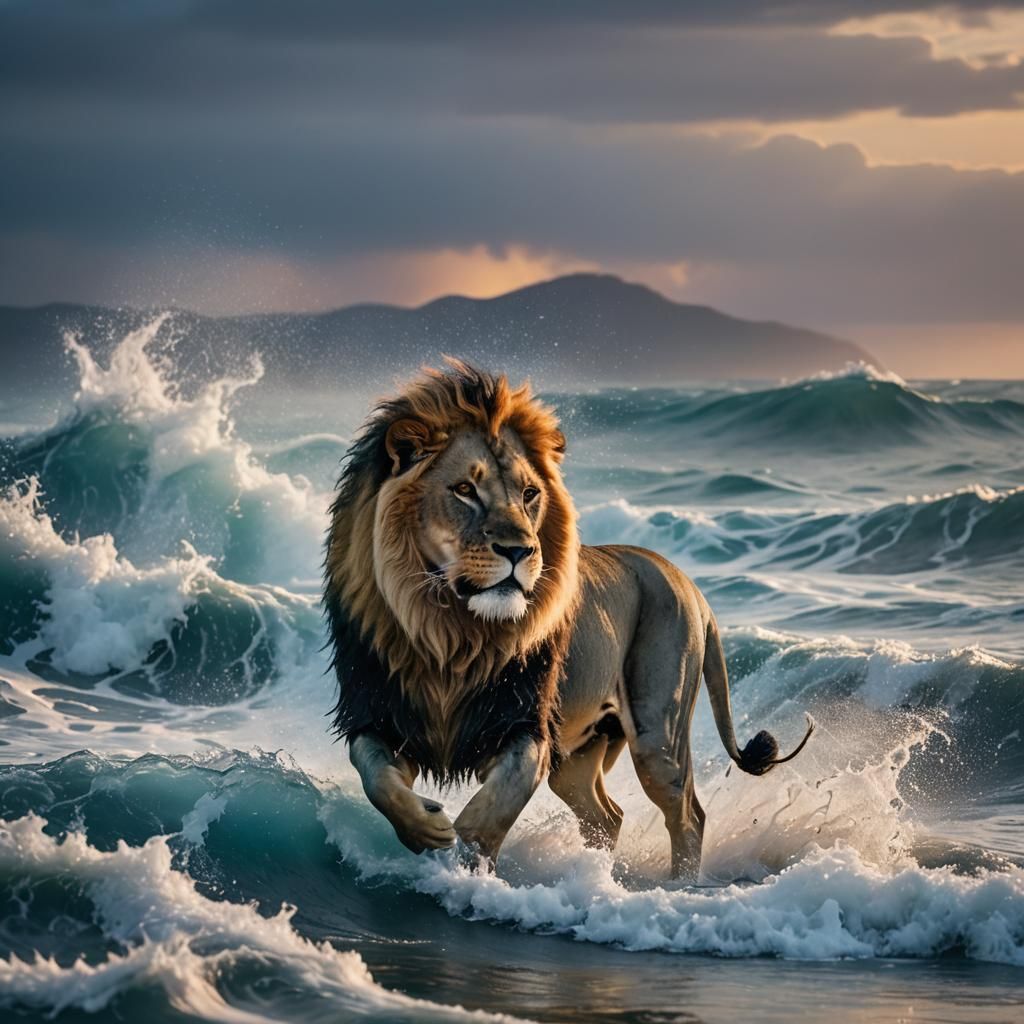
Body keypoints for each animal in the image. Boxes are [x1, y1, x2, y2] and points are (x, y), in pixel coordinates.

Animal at [324, 360, 813, 880]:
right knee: (608, 816)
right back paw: (595, 872)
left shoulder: (526, 725)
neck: (450, 632)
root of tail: (689, 585)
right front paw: (427, 828)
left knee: (689, 815)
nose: (520, 551)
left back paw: (681, 886)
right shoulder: (377, 713)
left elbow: (498, 803)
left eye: (529, 494)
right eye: (464, 490)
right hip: (579, 758)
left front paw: (466, 850)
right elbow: (375, 777)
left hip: (658, 736)